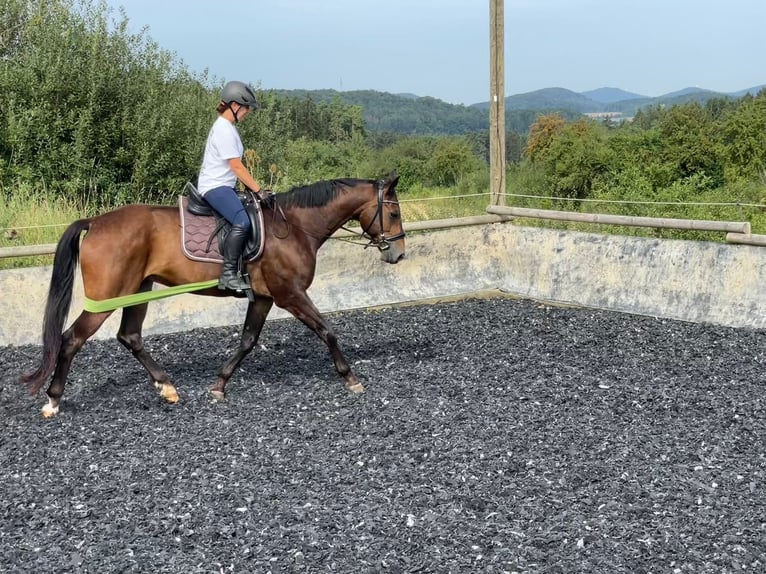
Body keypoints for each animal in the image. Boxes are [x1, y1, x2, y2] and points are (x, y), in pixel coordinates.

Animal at [21, 176, 408, 418]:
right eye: (393, 212)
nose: (398, 254)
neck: (295, 227)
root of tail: (95, 222)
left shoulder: (263, 297)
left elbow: (247, 341)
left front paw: (219, 385)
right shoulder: (290, 294)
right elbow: (327, 331)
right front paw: (351, 378)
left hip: (138, 291)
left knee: (129, 336)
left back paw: (167, 388)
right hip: (107, 297)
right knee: (71, 339)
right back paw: (53, 401)